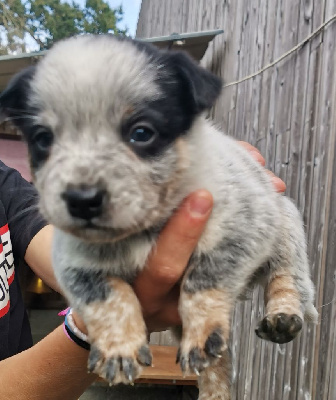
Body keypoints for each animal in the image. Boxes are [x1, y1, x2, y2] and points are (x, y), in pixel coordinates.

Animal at [0, 34, 318, 400]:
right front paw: (119, 347)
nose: (81, 201)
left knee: (288, 280)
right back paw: (214, 392)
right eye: (42, 139)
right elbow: (106, 296)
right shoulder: (73, 263)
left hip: (286, 226)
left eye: (141, 133)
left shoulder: (242, 229)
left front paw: (200, 331)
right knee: (219, 363)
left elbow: (202, 280)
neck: (142, 230)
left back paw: (282, 317)